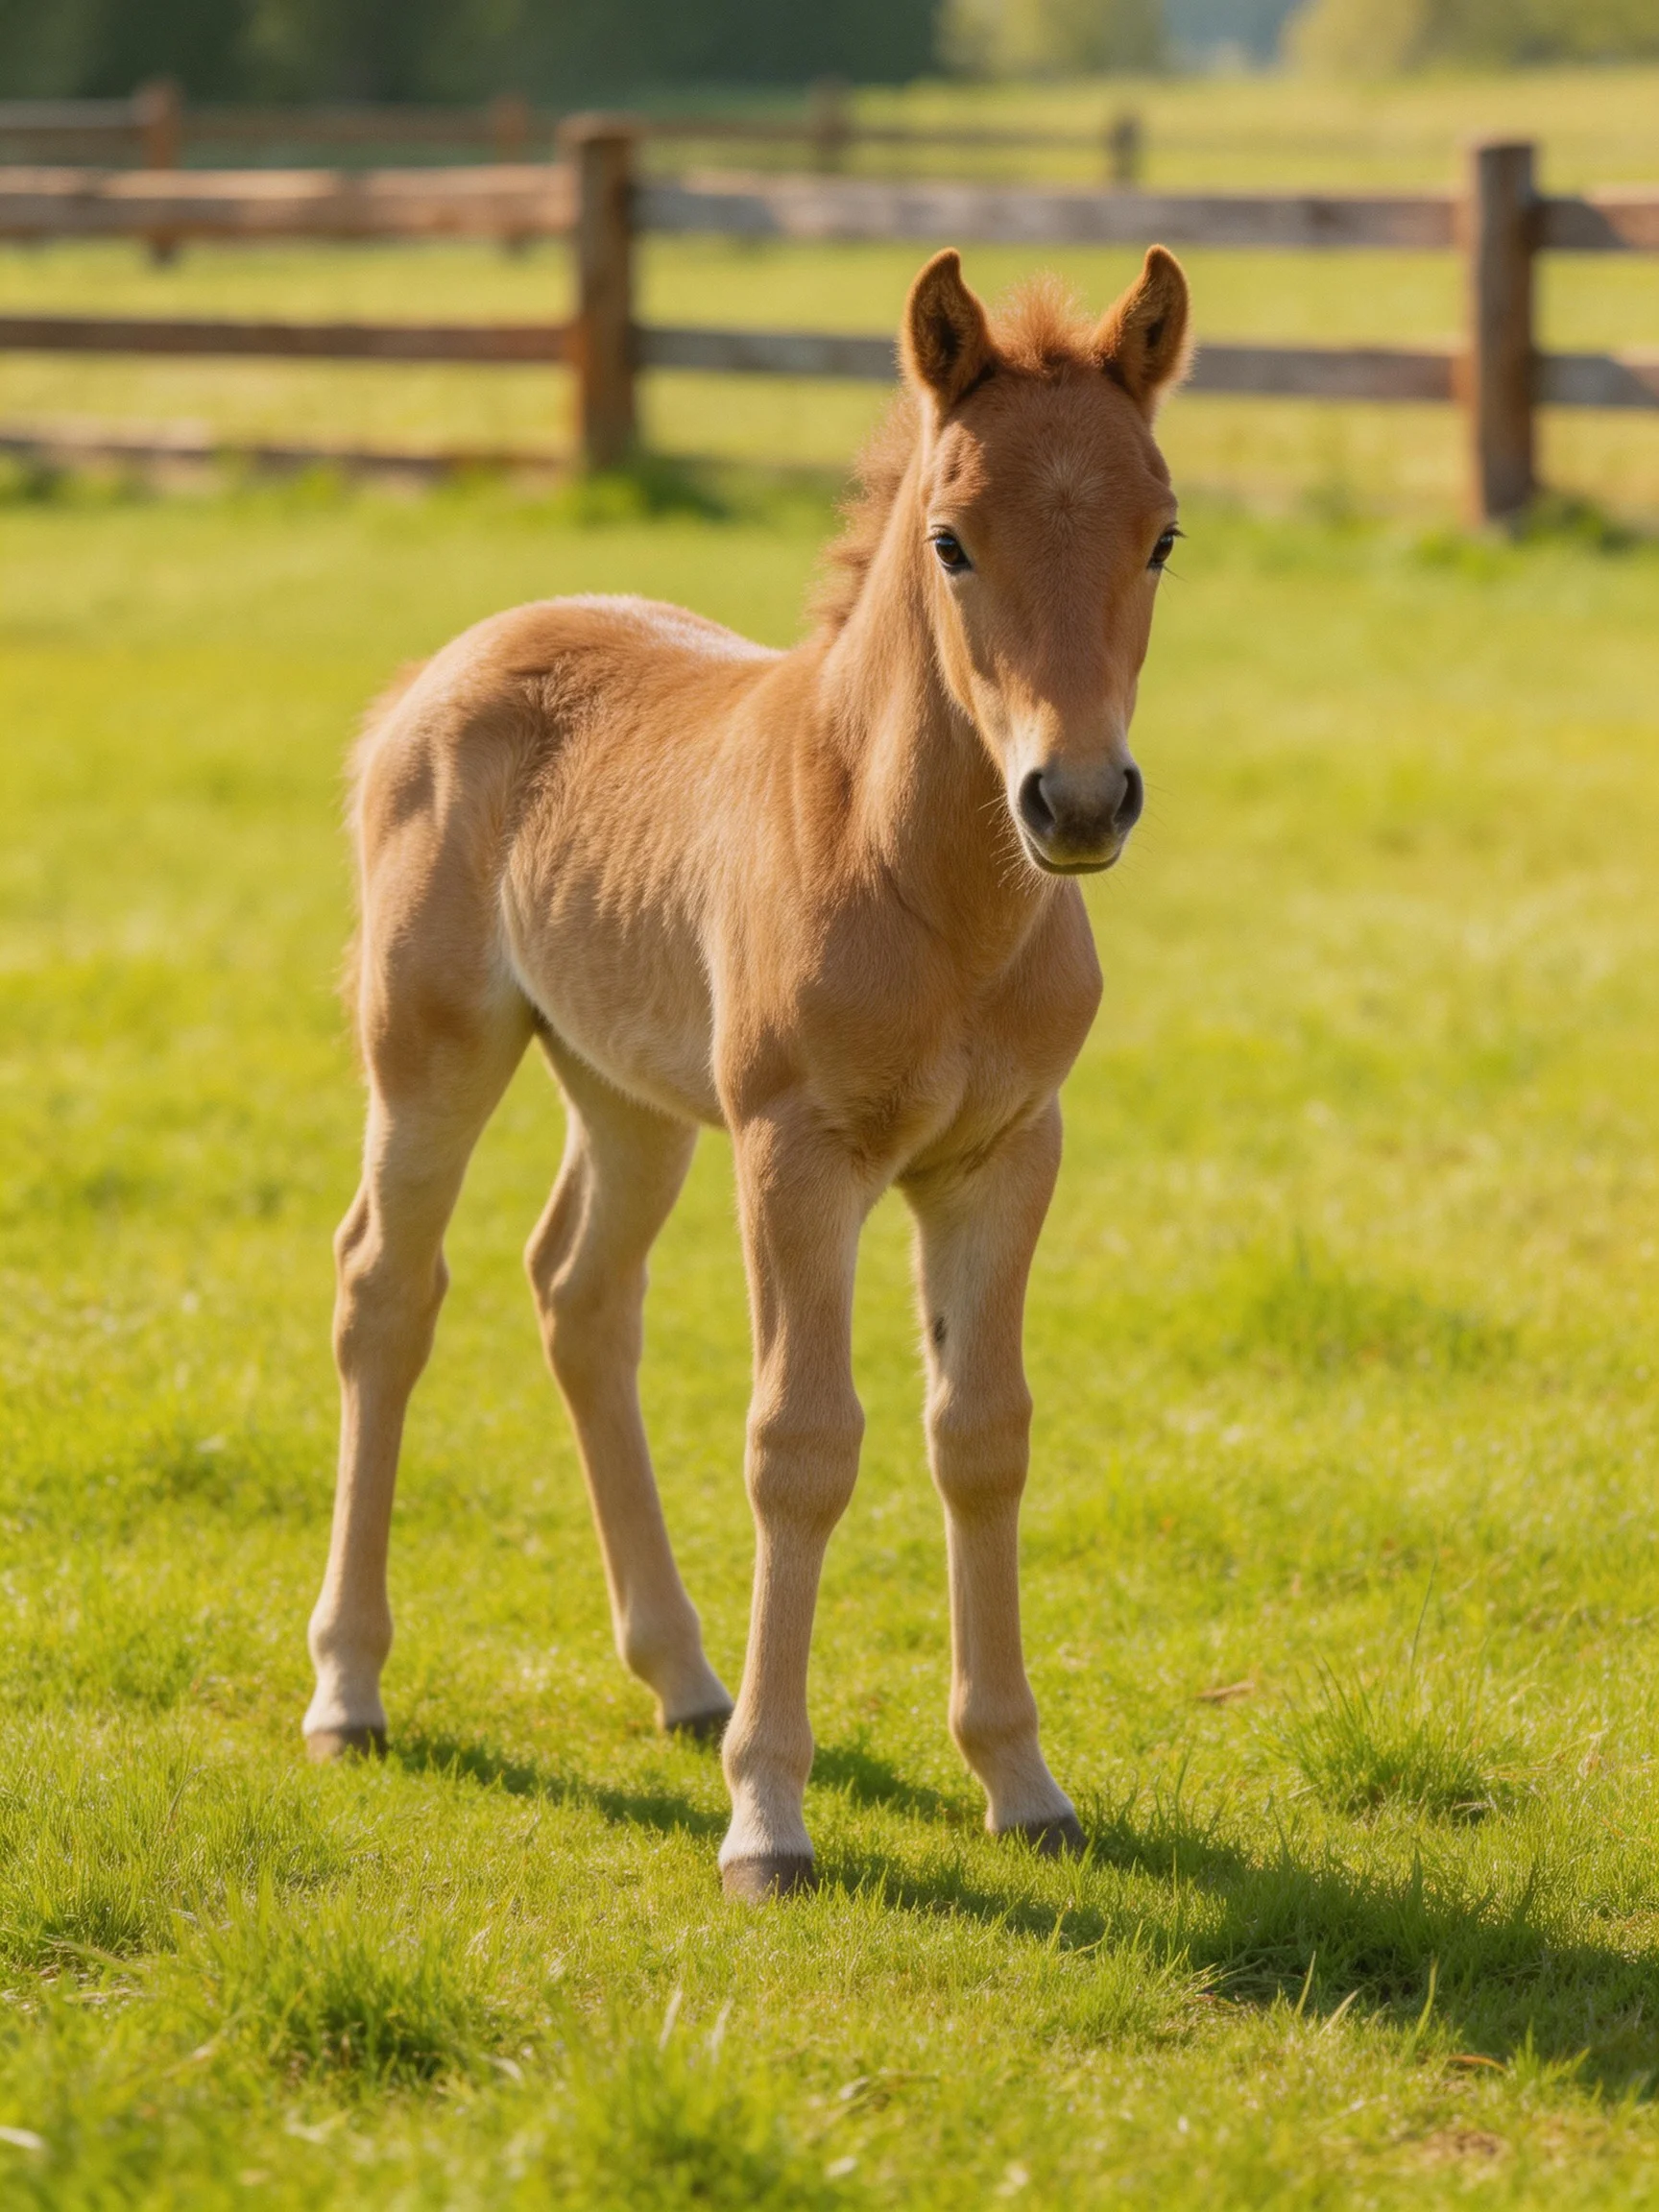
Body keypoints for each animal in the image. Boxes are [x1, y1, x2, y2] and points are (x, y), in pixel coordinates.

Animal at [304, 244, 1191, 1900]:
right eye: (952, 542)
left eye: (1161, 535)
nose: (1080, 799)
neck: (927, 887)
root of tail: (435, 672)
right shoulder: (798, 1152)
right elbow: (801, 1444)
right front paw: (769, 1819)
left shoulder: (1005, 1155)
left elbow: (983, 1434)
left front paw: (1022, 1782)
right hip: (433, 1047)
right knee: (387, 1287)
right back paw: (349, 1689)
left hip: (633, 1093)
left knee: (580, 1296)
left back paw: (682, 1676)